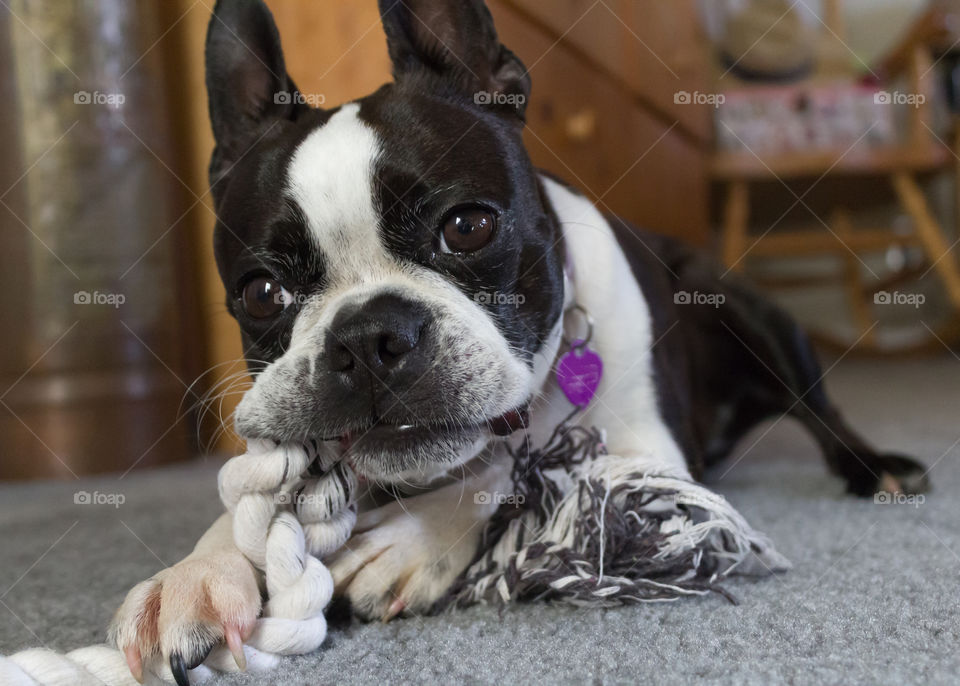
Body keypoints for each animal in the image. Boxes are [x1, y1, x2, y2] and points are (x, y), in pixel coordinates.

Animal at [109, 2, 928, 684]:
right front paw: (199, 574)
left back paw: (878, 468)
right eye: (260, 293)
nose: (368, 335)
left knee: (821, 411)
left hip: (752, 314)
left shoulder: (646, 454)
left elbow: (524, 470)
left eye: (468, 226)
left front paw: (411, 540)